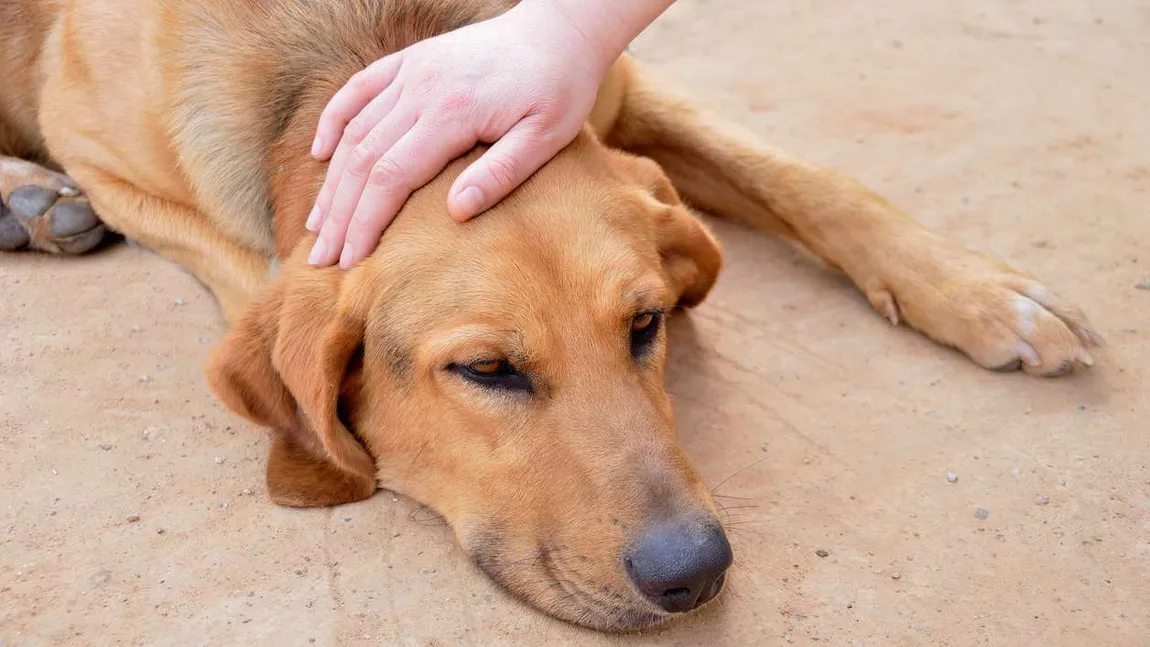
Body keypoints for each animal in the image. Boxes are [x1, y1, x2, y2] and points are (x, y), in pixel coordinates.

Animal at [0, 0, 1099, 634]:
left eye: (646, 324)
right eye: (487, 370)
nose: (694, 573)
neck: (374, 47)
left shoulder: (592, 83)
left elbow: (803, 178)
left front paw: (982, 291)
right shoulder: (107, 157)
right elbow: (255, 273)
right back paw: (30, 200)